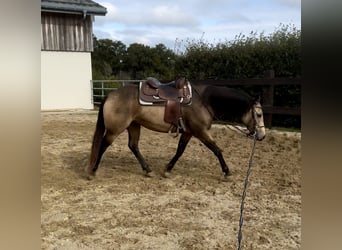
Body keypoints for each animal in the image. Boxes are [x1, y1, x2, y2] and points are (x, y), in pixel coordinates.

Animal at [85, 77, 264, 179]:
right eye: (259, 114)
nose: (262, 136)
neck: (204, 101)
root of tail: (110, 95)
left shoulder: (189, 132)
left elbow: (180, 150)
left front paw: (167, 170)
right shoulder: (200, 131)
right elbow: (217, 150)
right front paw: (227, 172)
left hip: (134, 125)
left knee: (133, 146)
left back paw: (148, 170)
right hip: (115, 129)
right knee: (103, 144)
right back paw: (93, 171)